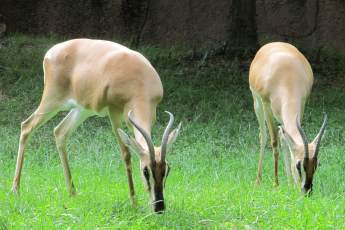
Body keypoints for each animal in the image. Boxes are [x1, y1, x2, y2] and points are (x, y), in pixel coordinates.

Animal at [11, 38, 180, 213]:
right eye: (146, 170)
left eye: (167, 169)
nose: (159, 207)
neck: (138, 81)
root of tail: (52, 51)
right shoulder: (114, 113)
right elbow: (126, 154)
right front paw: (134, 203)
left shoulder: (150, 115)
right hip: (52, 101)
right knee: (26, 126)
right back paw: (16, 190)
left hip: (82, 109)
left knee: (60, 131)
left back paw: (73, 193)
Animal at [249, 41, 326, 194]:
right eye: (299, 165)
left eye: (316, 164)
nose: (307, 189)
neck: (286, 77)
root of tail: (273, 43)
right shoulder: (267, 105)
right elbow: (274, 142)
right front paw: (276, 184)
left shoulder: (301, 105)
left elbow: (285, 140)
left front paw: (291, 185)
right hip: (257, 103)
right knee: (264, 136)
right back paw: (258, 181)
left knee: (282, 136)